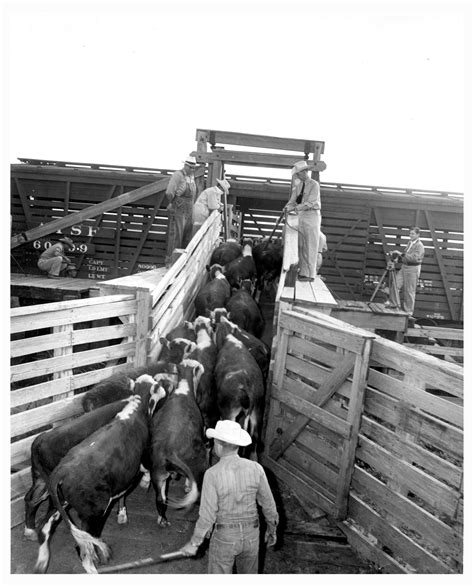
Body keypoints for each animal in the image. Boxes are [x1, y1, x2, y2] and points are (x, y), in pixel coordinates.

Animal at [35, 376, 165, 576]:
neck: (136, 407)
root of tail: (62, 470)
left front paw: (122, 514)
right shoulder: (144, 459)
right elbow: (149, 472)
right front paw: (145, 485)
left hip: (62, 503)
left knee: (44, 527)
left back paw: (42, 563)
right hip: (93, 513)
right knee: (84, 548)